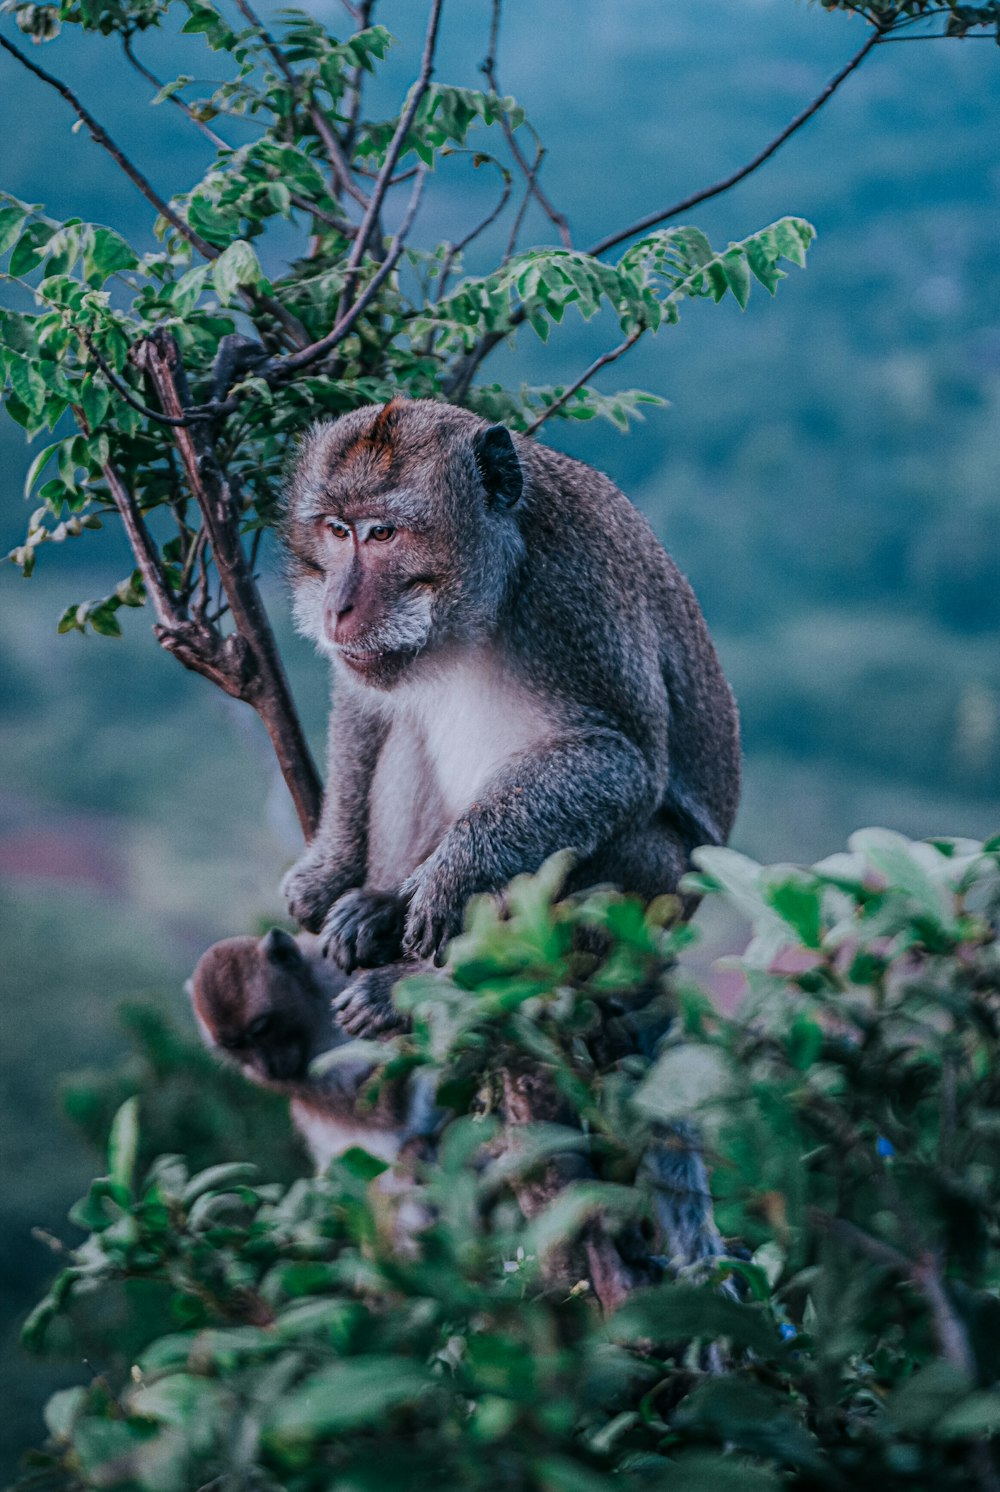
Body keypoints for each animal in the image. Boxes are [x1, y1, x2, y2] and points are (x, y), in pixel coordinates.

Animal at [277, 396, 740, 1038]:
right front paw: (332, 868)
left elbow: (622, 758)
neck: (486, 597)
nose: (336, 608)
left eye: (384, 533)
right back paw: (383, 906)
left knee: (630, 854)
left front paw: (455, 875)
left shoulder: (574, 596)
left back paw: (425, 989)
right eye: (338, 531)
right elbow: (365, 703)